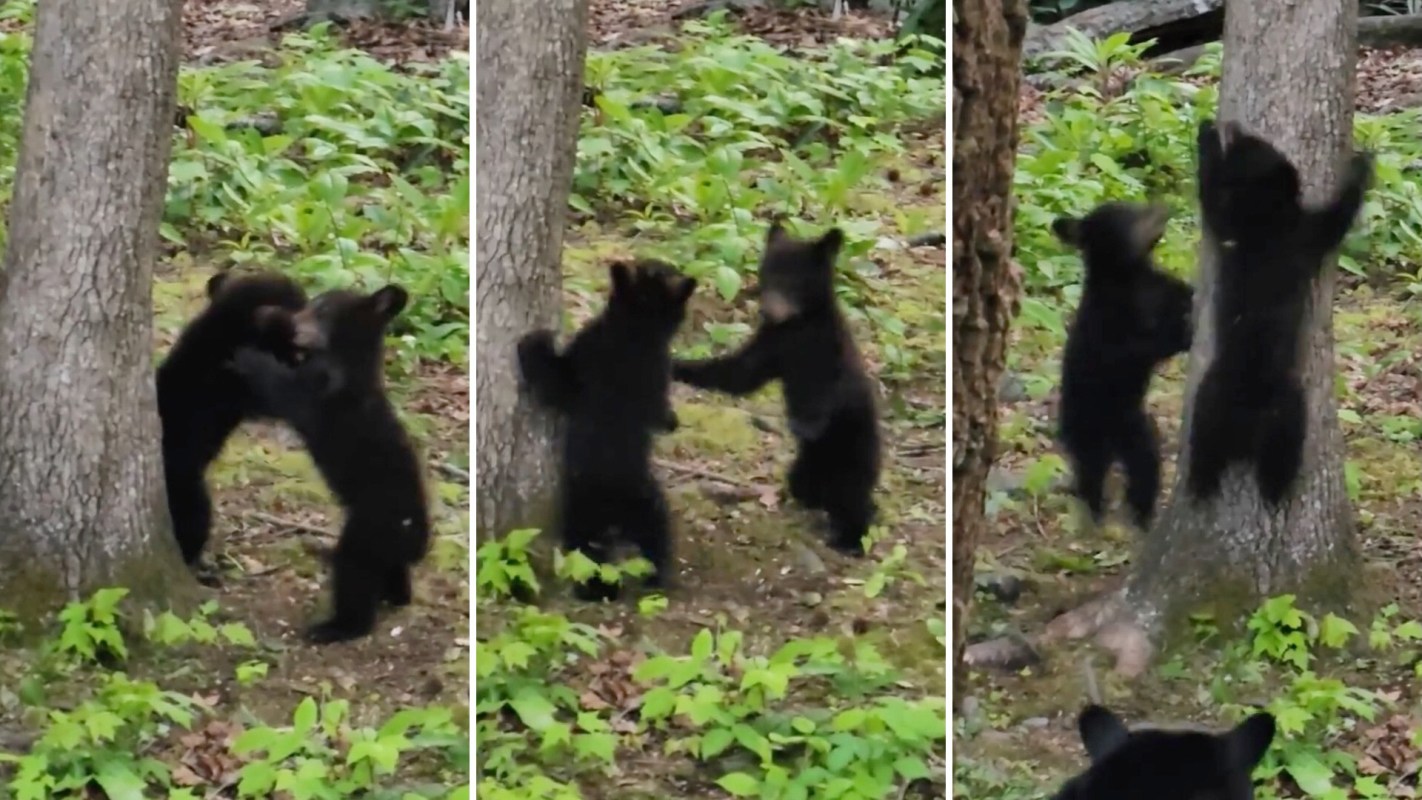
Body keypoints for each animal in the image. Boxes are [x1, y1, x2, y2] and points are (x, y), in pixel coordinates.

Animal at [229, 284, 430, 644]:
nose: (291, 320)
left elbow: (286, 393)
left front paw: (251, 356)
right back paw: (395, 595)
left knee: (353, 571)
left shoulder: (322, 390)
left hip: (369, 529)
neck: (347, 359)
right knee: (391, 572)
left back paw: (335, 626)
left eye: (319, 307)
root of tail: (418, 541)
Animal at [517, 260, 696, 602]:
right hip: (630, 507)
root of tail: (616, 518)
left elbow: (557, 382)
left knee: (595, 552)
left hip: (587, 510)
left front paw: (533, 343)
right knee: (652, 540)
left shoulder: (591, 361)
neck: (635, 331)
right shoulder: (649, 370)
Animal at [671, 223, 881, 555]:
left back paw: (850, 538)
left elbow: (829, 389)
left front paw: (805, 422)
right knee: (805, 485)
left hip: (854, 450)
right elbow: (739, 373)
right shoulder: (772, 344)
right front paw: (677, 365)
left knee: (854, 495)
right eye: (768, 273)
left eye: (793, 279)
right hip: (808, 465)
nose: (768, 310)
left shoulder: (829, 348)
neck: (797, 325)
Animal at [1053, 201, 1195, 531]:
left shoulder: (1160, 286)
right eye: (1131, 215)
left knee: (1145, 464)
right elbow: (1129, 350)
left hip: (1133, 428)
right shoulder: (1106, 321)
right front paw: (1180, 336)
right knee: (1090, 469)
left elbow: (1182, 292)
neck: (1128, 276)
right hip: (1083, 426)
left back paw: (1143, 514)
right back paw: (1093, 512)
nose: (1163, 207)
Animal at [1186, 119, 1372, 508]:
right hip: (1222, 392)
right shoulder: (1268, 229)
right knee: (1207, 437)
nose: (1232, 124)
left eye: (1248, 140)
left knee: (1277, 446)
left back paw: (1268, 489)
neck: (1267, 220)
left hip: (1280, 403)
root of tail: (1244, 433)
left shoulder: (1293, 232)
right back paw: (1208, 483)